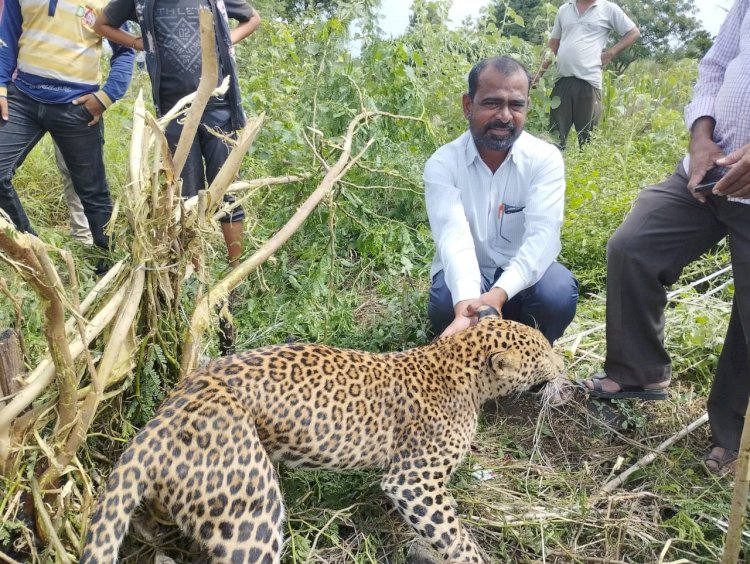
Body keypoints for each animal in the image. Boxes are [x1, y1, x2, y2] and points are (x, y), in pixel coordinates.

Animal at [81, 312, 564, 564]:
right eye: (542, 353)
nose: (562, 366)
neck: (456, 363)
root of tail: (168, 410)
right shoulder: (413, 481)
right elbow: (455, 536)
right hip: (250, 510)